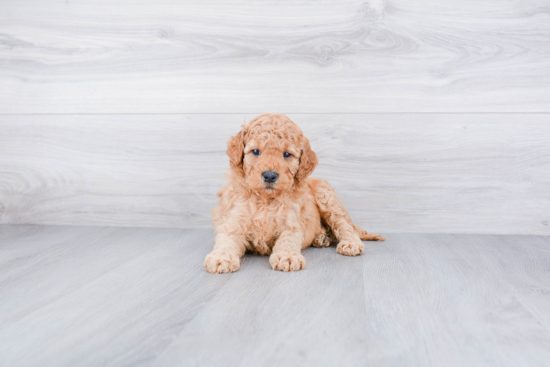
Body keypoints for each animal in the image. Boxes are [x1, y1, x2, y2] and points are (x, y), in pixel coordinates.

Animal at [205, 114, 386, 274]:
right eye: (255, 151)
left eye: (286, 154)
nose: (269, 175)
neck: (266, 200)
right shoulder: (234, 221)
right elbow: (226, 240)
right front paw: (220, 258)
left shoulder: (290, 223)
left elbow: (287, 240)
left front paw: (287, 257)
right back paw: (322, 237)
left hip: (326, 196)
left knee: (344, 224)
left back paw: (349, 243)